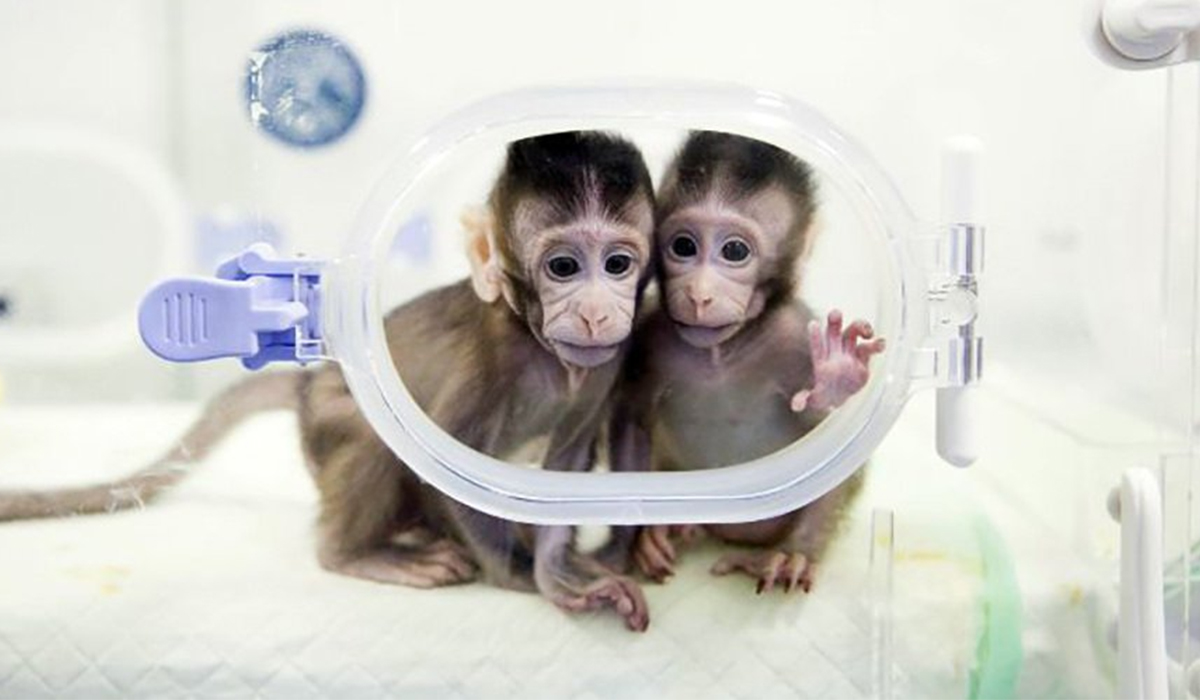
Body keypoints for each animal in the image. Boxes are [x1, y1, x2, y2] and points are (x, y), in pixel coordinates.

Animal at [0, 131, 656, 631]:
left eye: (617, 265)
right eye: (563, 266)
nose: (596, 312)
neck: (544, 351)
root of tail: (311, 381)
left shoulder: (603, 367)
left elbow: (564, 470)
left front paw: (564, 570)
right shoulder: (488, 364)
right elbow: (450, 472)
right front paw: (526, 578)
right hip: (328, 420)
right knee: (371, 438)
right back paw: (357, 553)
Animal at [606, 131, 886, 595]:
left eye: (734, 251)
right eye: (683, 246)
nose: (699, 294)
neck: (723, 353)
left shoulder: (795, 336)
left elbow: (827, 439)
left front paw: (837, 375)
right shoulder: (651, 334)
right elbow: (633, 420)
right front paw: (645, 535)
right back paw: (681, 528)